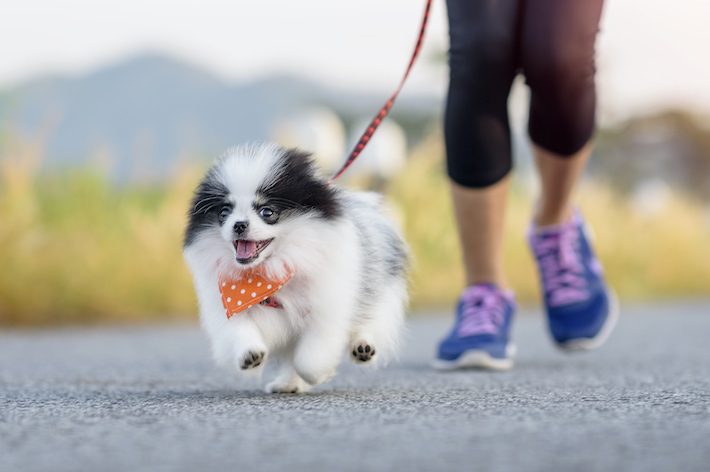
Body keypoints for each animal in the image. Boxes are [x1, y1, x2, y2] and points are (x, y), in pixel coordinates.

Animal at [181, 144, 408, 394]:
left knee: (373, 320)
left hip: (379, 287)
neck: (268, 274)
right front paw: (250, 354)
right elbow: (239, 332)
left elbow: (309, 359)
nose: (239, 224)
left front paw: (321, 374)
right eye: (224, 213)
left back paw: (363, 347)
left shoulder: (326, 308)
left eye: (267, 212)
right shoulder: (230, 304)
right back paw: (288, 384)